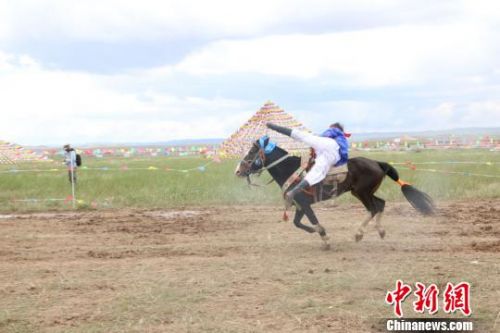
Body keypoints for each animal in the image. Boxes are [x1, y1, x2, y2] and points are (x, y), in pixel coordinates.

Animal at [234, 134, 434, 246]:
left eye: (251, 152)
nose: (237, 171)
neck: (293, 171)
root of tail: (378, 163)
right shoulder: (301, 205)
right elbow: (297, 223)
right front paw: (315, 232)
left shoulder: (305, 204)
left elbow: (311, 221)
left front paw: (325, 238)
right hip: (364, 192)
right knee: (381, 204)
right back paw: (380, 231)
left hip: (361, 193)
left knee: (373, 208)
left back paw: (359, 234)